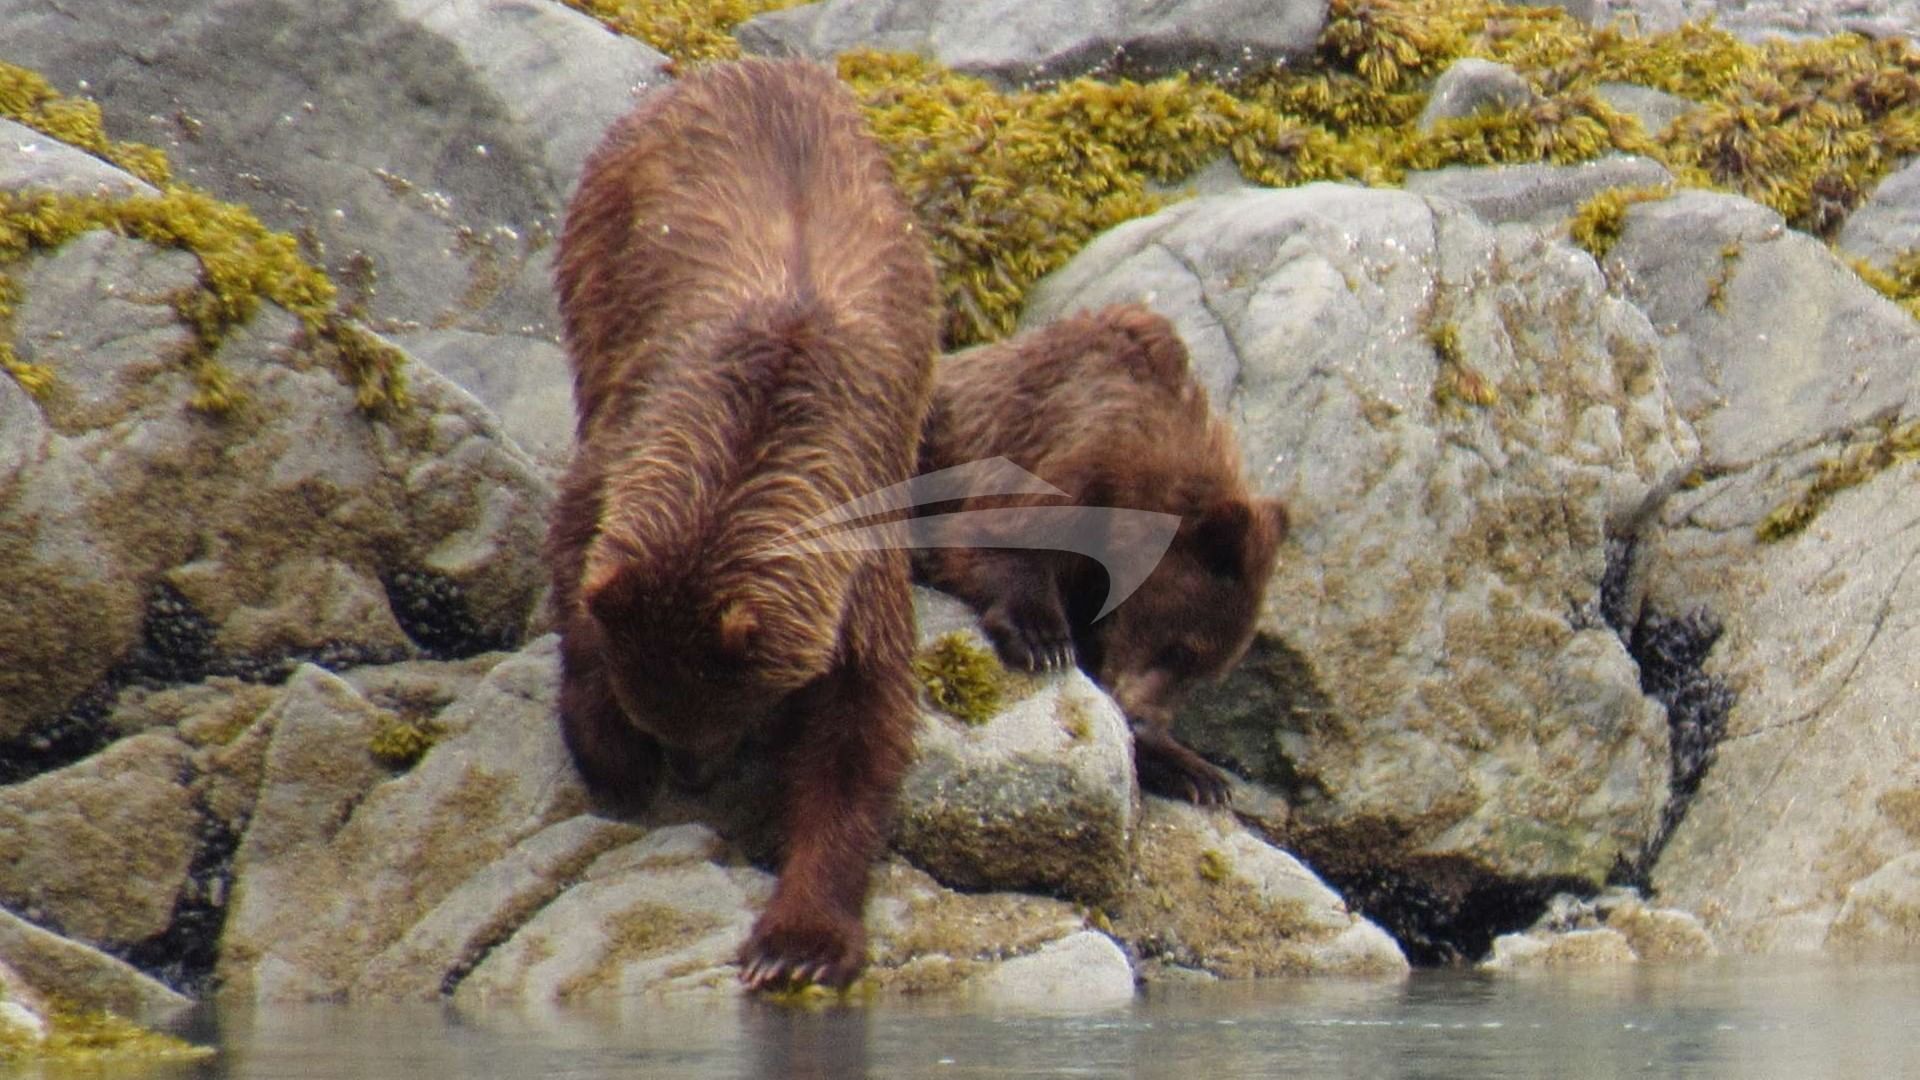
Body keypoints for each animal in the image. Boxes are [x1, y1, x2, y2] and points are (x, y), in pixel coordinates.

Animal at [547, 58, 939, 991]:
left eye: (731, 708)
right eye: (665, 713)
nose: (692, 774)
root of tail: (756, 65)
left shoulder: (860, 553)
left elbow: (857, 734)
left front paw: (798, 944)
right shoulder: (627, 448)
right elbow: (575, 579)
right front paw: (611, 754)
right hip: (599, 253)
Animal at [914, 304, 1288, 806]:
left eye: (1203, 674)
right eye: (1181, 647)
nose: (1144, 718)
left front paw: (1196, 771)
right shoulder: (1064, 445)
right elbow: (999, 535)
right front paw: (1044, 640)